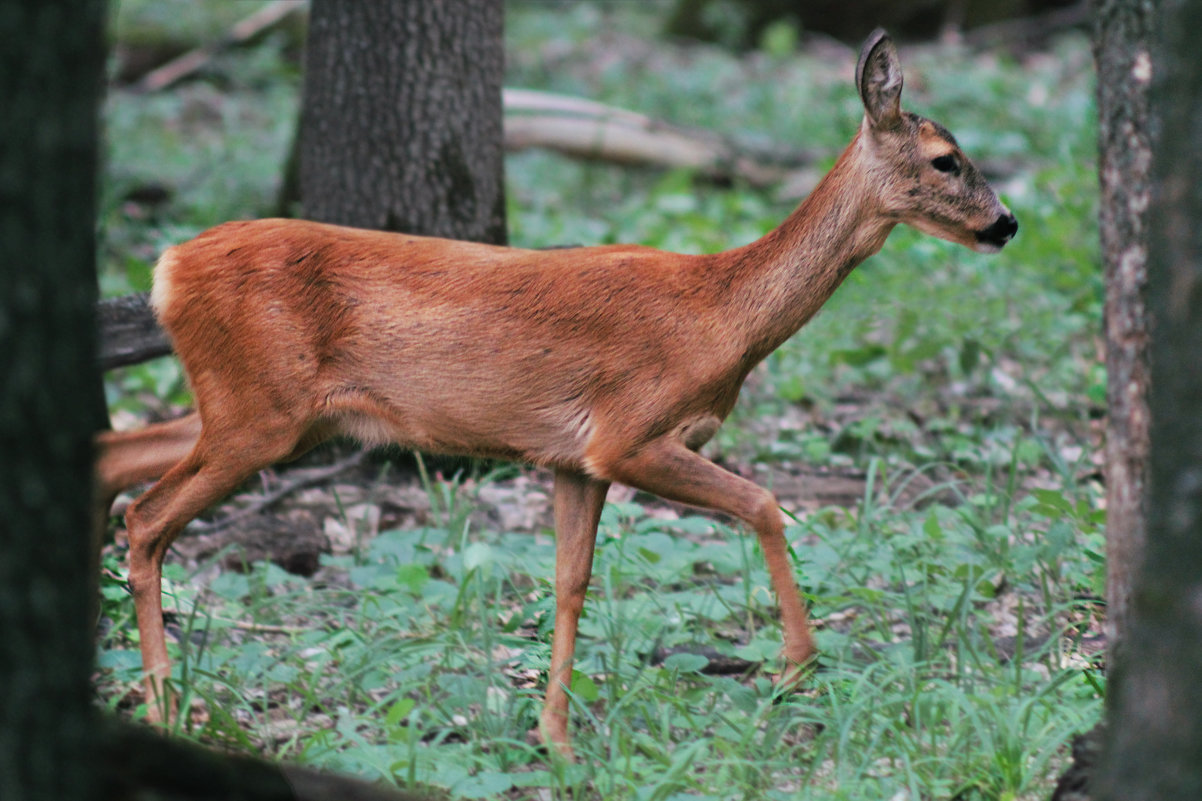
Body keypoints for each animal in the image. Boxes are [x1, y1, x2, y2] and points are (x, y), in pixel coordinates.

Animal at [100, 29, 1014, 755]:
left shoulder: (575, 460)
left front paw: (556, 737)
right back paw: (164, 705)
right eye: (947, 159)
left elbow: (570, 581)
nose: (1006, 224)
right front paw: (795, 668)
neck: (721, 313)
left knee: (115, 461)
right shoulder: (631, 433)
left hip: (262, 413)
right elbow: (763, 503)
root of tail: (167, 267)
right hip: (257, 414)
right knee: (144, 516)